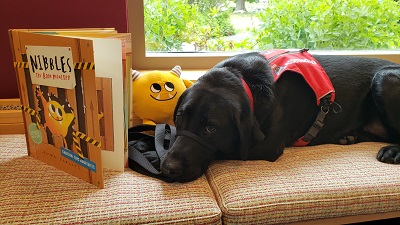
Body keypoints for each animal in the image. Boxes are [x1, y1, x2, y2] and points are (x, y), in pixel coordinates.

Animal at [160, 51, 400, 183]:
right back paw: (349, 137)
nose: (168, 168)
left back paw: (392, 152)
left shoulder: (267, 145)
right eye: (180, 118)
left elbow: (229, 148)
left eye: (211, 128)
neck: (247, 82)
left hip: (385, 78)